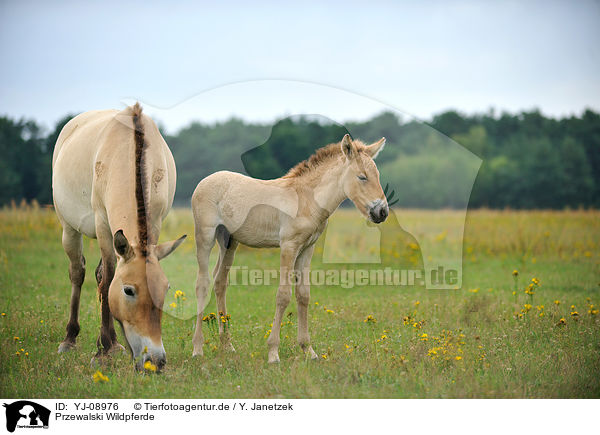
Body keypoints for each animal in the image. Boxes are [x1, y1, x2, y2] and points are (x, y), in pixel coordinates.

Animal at [53, 103, 186, 372]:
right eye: (128, 291)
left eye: (166, 289)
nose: (155, 360)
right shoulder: (103, 225)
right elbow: (107, 282)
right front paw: (103, 351)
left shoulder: (154, 224)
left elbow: (105, 279)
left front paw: (110, 345)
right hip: (69, 229)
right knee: (78, 273)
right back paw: (70, 339)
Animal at [192, 134, 390, 364]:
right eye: (362, 177)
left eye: (377, 175)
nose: (382, 212)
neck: (307, 199)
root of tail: (205, 181)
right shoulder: (289, 245)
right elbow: (283, 295)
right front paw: (273, 352)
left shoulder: (307, 248)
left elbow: (303, 295)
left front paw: (308, 350)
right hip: (205, 237)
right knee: (202, 283)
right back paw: (197, 349)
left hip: (229, 241)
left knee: (220, 282)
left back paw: (227, 345)